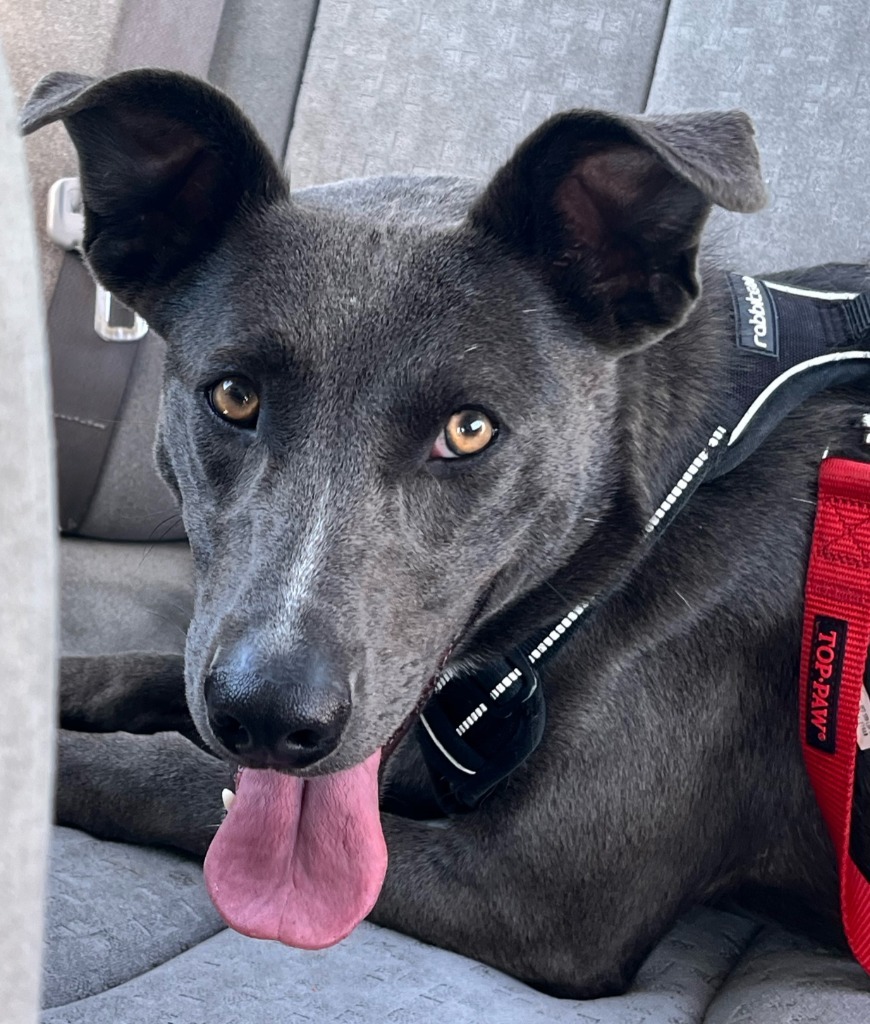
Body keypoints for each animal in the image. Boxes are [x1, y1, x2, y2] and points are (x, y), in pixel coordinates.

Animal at [20, 68, 867, 995]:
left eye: (469, 431)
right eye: (234, 396)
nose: (270, 719)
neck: (680, 487)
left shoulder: (533, 896)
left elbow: (165, 773)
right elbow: (137, 671)